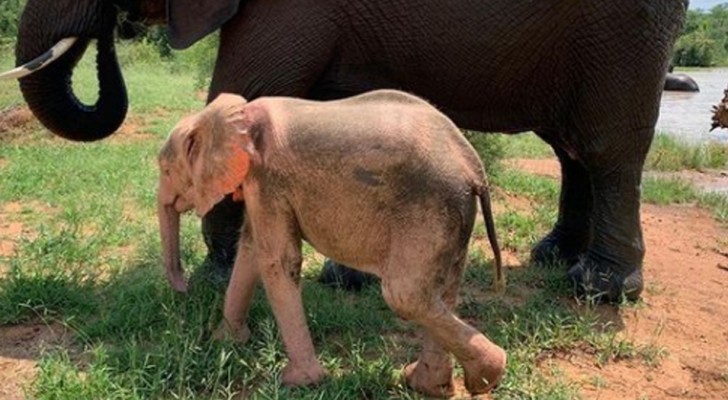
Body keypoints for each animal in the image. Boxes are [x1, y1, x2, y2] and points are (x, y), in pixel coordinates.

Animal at [4, 0, 688, 300]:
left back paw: (599, 289)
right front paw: (343, 282)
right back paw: (552, 260)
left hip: (626, 27)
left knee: (606, 145)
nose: (108, 30)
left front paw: (215, 278)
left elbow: (247, 87)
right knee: (569, 146)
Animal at [154, 90, 506, 396]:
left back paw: (488, 375)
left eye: (166, 169)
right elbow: (251, 251)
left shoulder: (267, 180)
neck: (234, 115)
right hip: (453, 210)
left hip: (428, 206)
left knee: (406, 295)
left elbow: (277, 260)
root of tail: (474, 168)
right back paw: (429, 385)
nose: (183, 289)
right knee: (442, 290)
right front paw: (226, 342)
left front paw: (298, 382)